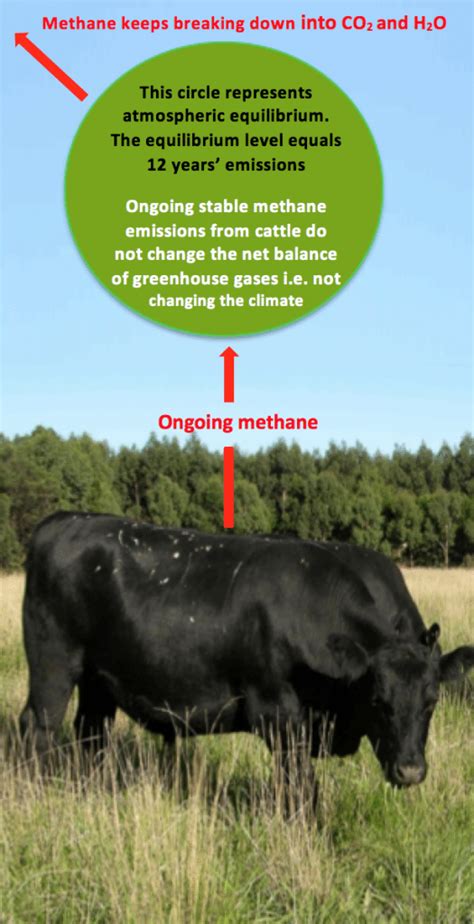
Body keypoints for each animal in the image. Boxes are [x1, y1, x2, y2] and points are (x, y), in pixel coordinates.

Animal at [20, 511, 474, 798]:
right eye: (378, 701)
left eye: (431, 701)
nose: (410, 771)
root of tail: (64, 520)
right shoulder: (278, 718)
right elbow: (301, 792)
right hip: (53, 666)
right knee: (37, 727)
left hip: (98, 679)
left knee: (90, 732)